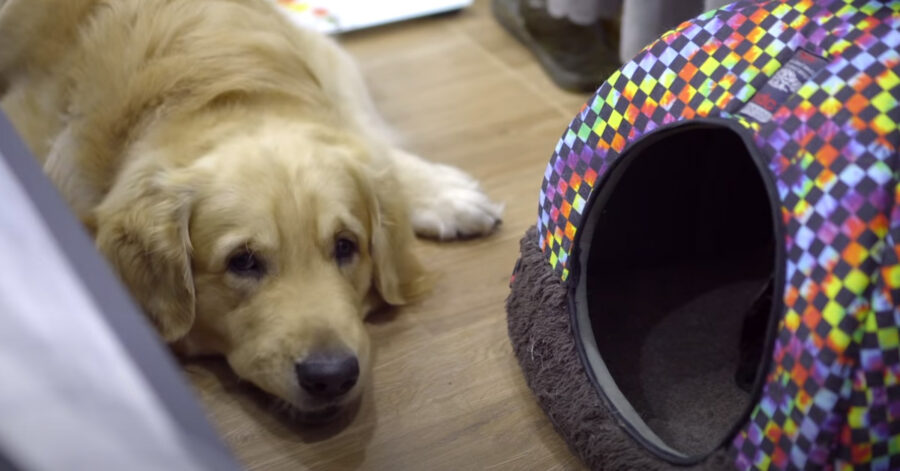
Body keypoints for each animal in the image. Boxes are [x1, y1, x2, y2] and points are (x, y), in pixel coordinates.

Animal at [0, 0, 502, 424]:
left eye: (346, 247)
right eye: (242, 261)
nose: (332, 376)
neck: (220, 89)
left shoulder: (327, 58)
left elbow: (370, 141)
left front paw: (441, 193)